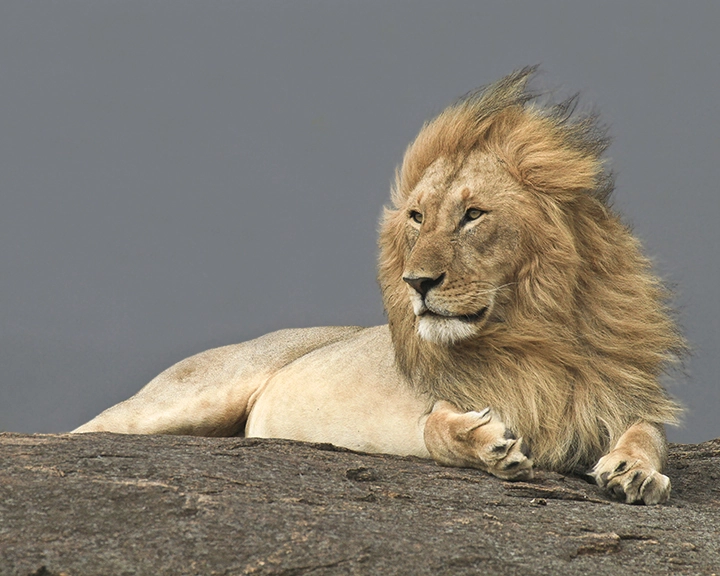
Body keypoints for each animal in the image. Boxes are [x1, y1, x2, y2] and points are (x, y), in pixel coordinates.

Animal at [74, 67, 684, 505]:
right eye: (417, 217)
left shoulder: (614, 394)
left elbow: (648, 432)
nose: (417, 281)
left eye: (473, 215)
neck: (532, 337)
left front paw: (633, 472)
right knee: (87, 431)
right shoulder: (427, 409)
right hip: (181, 399)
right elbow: (438, 428)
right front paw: (487, 445)